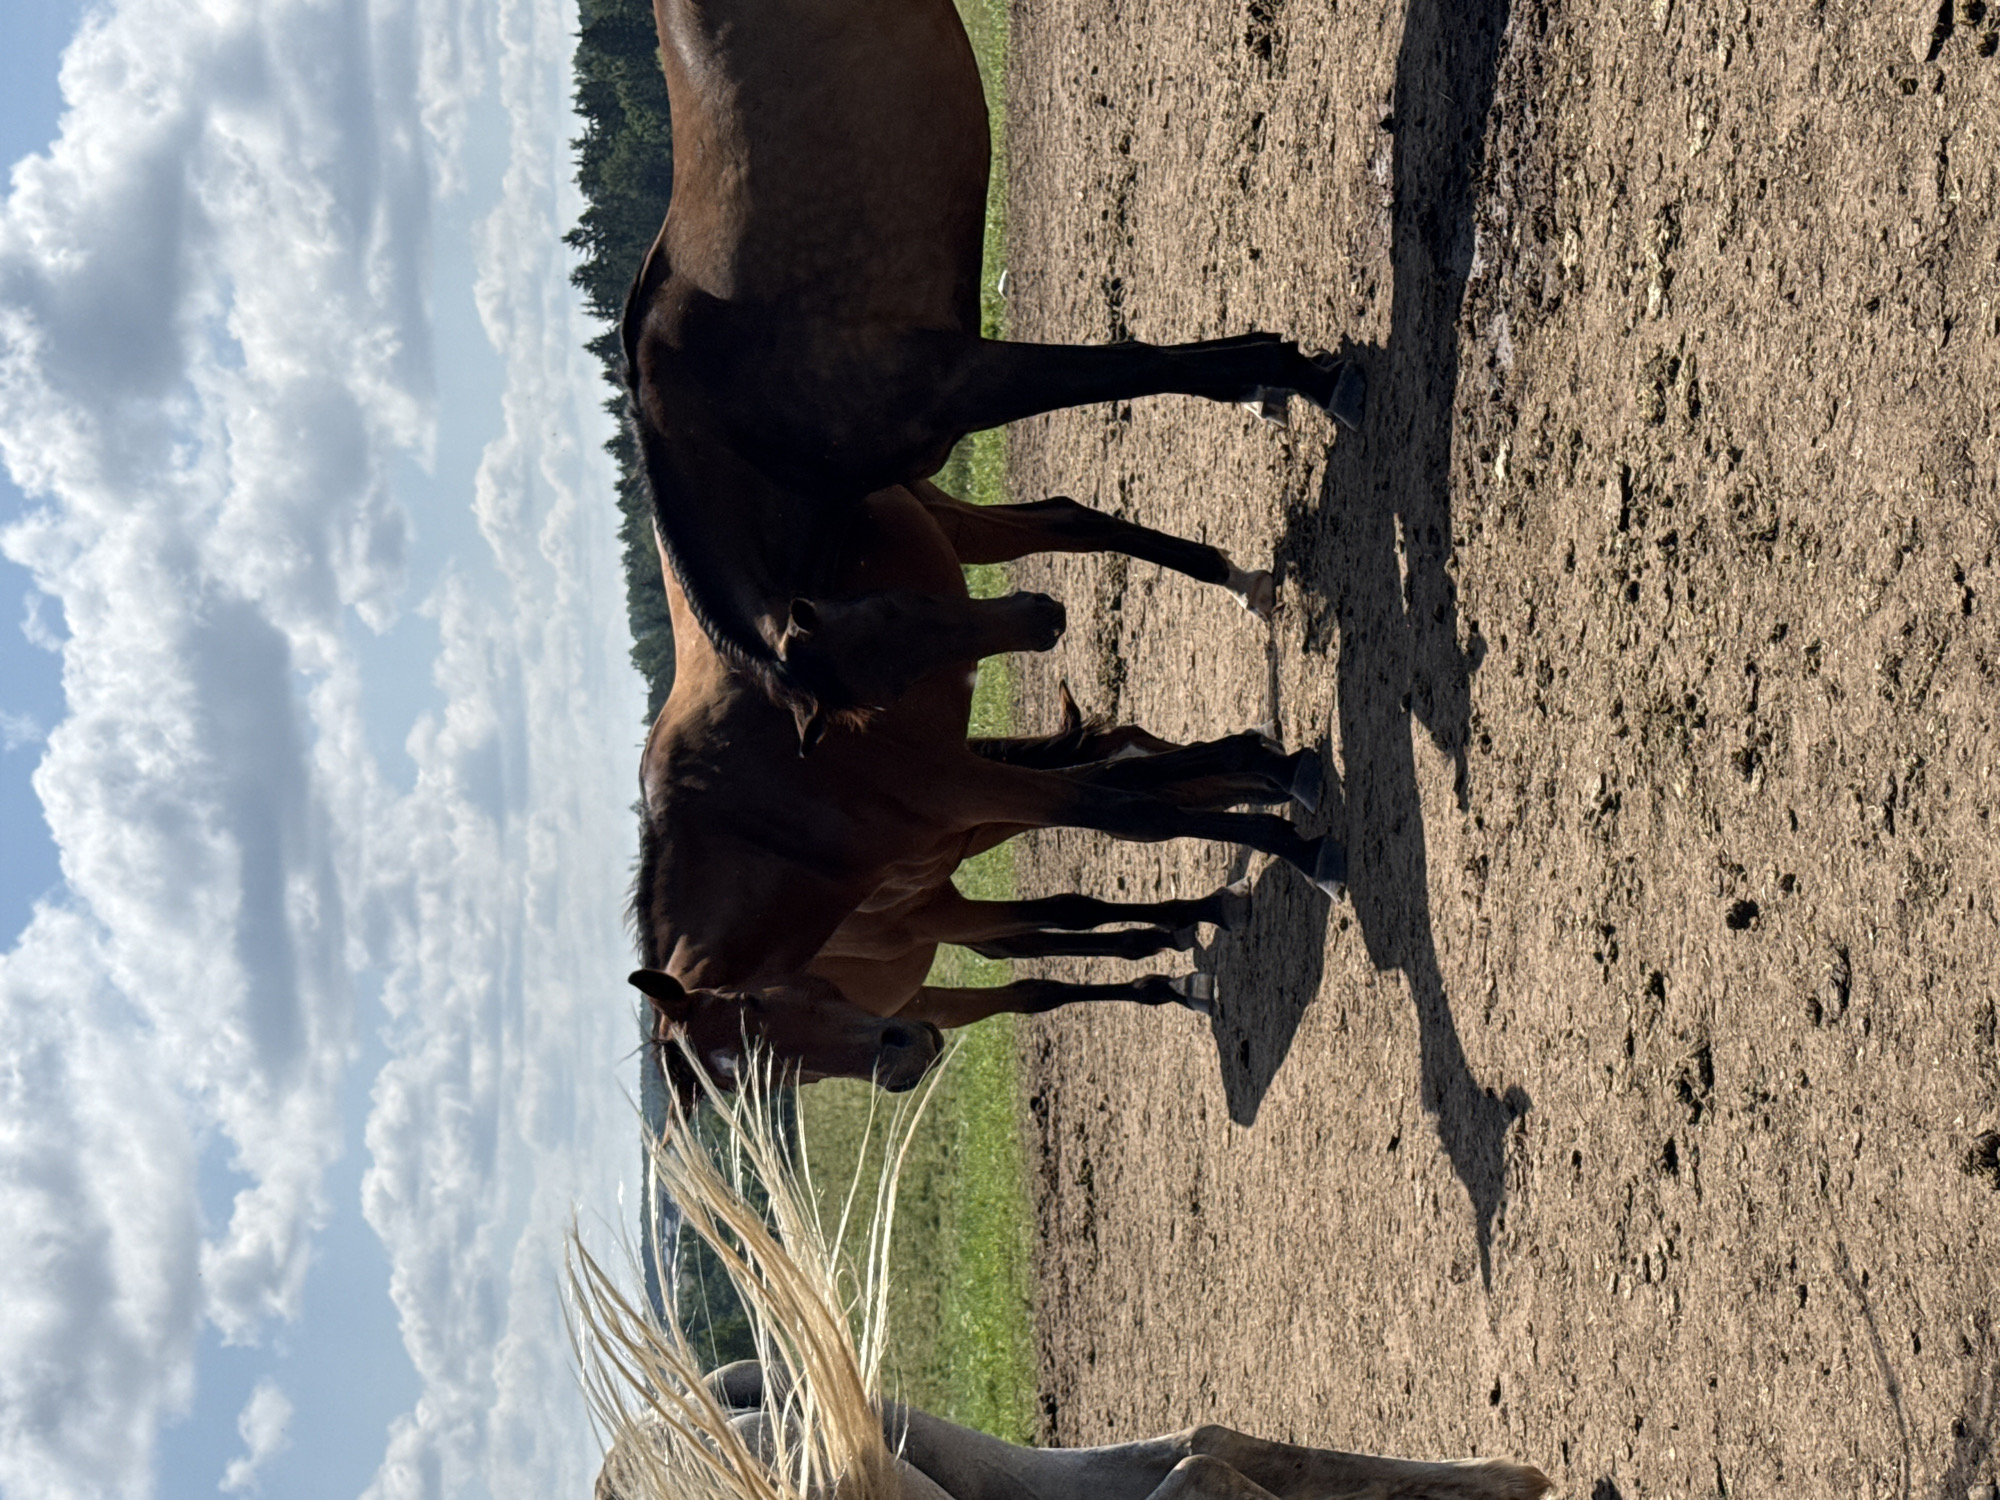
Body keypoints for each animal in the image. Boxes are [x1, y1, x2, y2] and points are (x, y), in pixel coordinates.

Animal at [624, 0, 1365, 748]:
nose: (1044, 620)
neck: (738, 423)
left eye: (896, 614)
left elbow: (1137, 364)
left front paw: (1307, 378)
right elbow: (1081, 505)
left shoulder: (968, 378)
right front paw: (1246, 564)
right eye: (894, 680)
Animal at [629, 483, 1346, 1104]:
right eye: (761, 1081)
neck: (774, 827)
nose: (904, 1060)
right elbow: (1091, 866)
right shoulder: (949, 855)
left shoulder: (963, 795)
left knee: (1065, 525)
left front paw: (1288, 829)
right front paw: (1253, 826)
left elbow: (1129, 807)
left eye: (754, 1004)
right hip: (928, 979)